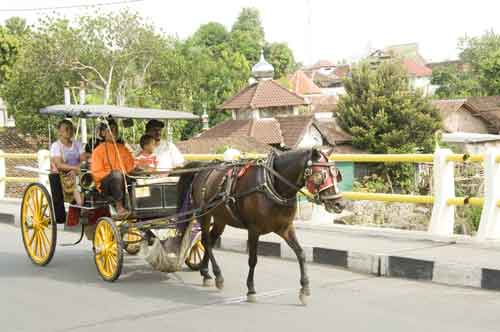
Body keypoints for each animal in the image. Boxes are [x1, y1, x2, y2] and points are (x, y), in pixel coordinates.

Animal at [178, 148, 346, 304]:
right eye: (320, 175)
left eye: (337, 175)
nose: (340, 204)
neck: (273, 185)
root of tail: (204, 167)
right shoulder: (254, 229)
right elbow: (253, 259)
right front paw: (251, 290)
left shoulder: (285, 228)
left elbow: (301, 253)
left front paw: (304, 288)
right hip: (204, 213)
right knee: (206, 240)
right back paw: (217, 274)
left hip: (221, 218)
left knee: (211, 241)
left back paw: (206, 273)